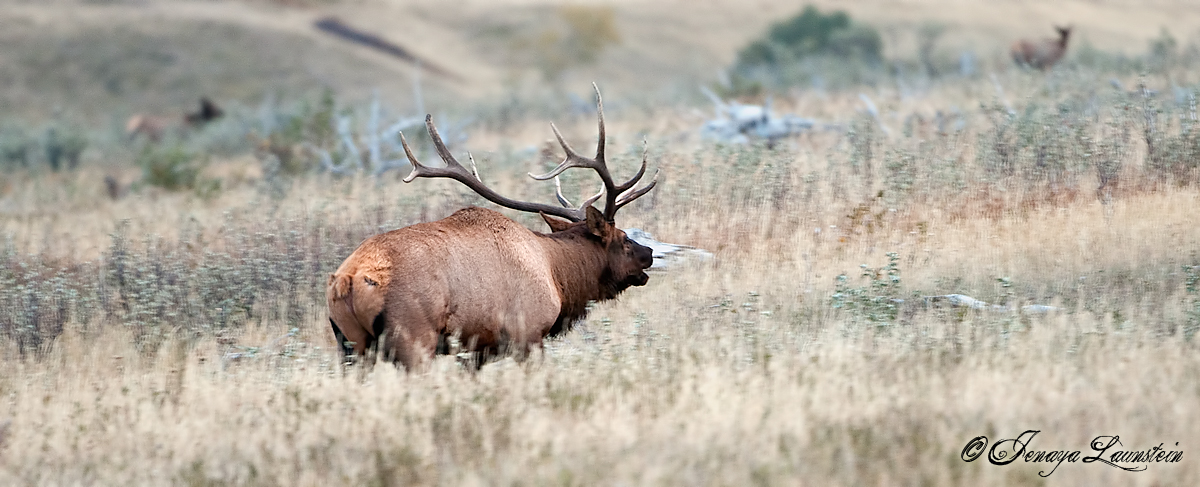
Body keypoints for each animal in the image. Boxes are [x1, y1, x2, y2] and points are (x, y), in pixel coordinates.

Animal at [326, 85, 658, 371]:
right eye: (624, 239)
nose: (650, 252)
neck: (558, 275)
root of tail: (348, 280)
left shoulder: (476, 349)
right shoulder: (528, 333)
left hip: (351, 346)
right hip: (413, 338)